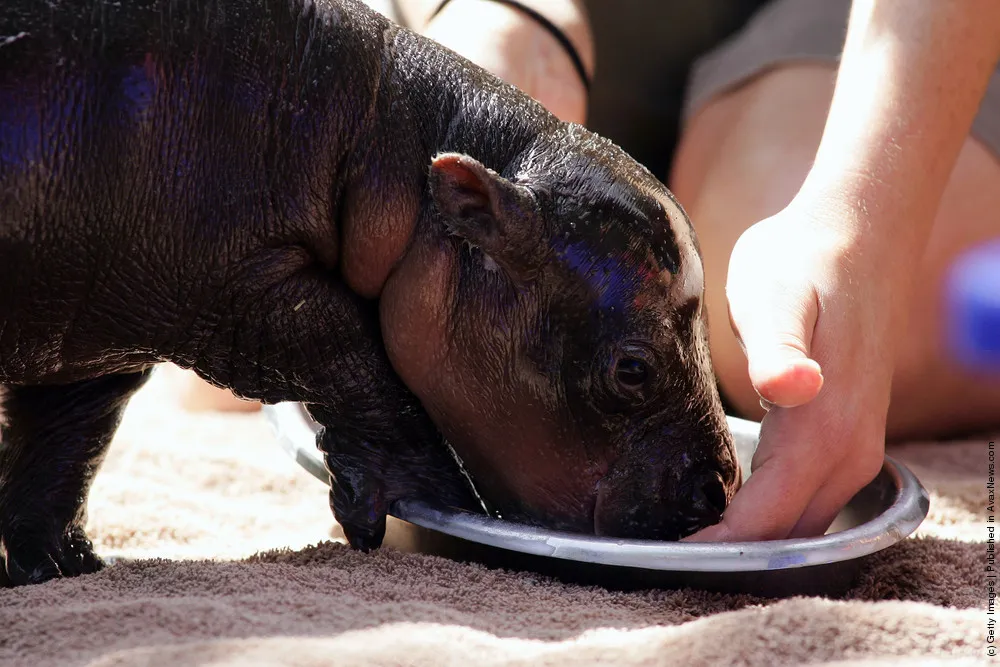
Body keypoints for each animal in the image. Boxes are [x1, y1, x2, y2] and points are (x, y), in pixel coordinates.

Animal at [0, 0, 741, 586]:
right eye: (632, 369)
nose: (722, 490)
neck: (374, 145)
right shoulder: (232, 293)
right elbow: (347, 345)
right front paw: (432, 498)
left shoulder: (87, 334)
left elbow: (66, 441)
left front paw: (67, 567)